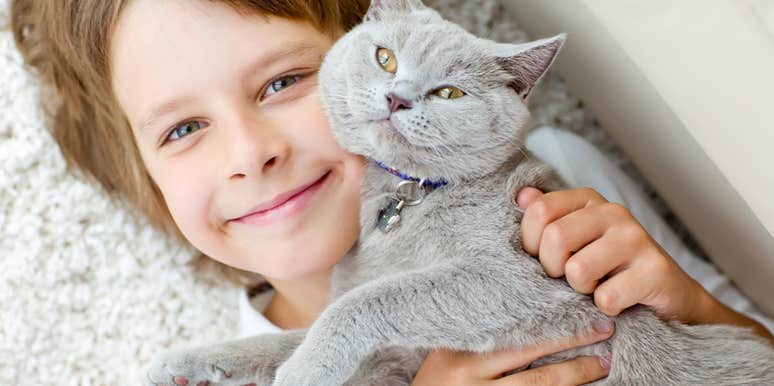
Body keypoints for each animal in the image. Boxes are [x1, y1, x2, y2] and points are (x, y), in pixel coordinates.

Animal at [144, 0, 774, 386]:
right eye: (385, 58)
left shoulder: (522, 278)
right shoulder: (395, 364)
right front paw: (188, 361)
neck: (405, 199)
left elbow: (366, 302)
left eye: (449, 92)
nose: (397, 97)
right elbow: (289, 336)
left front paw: (303, 371)